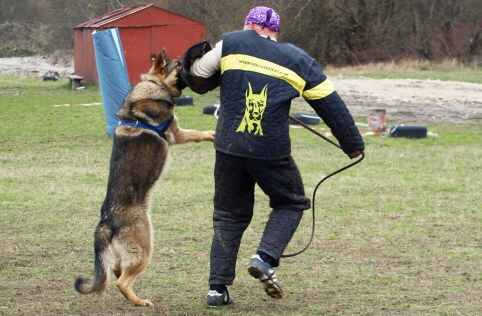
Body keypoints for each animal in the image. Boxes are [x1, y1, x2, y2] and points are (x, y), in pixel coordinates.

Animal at [75, 51, 215, 306]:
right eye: (178, 65)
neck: (154, 84)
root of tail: (106, 223)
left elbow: (197, 133)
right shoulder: (176, 133)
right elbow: (195, 133)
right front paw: (212, 134)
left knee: (117, 269)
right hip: (145, 246)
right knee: (121, 281)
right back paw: (139, 301)